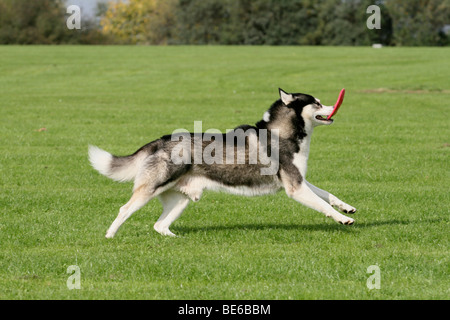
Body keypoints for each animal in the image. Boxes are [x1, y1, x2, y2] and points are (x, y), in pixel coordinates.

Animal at [88, 88, 356, 238]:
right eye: (317, 103)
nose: (335, 107)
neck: (283, 133)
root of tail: (161, 140)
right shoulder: (295, 188)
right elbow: (323, 205)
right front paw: (341, 219)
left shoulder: (299, 181)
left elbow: (328, 195)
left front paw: (347, 208)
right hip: (150, 190)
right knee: (124, 210)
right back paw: (110, 236)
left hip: (180, 201)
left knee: (159, 225)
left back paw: (177, 240)